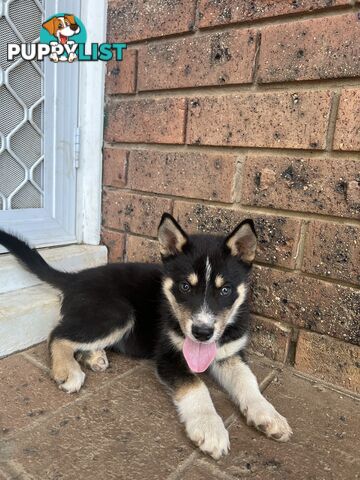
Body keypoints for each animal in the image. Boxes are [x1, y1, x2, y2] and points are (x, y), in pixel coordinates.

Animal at [0, 214, 292, 458]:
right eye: (184, 286)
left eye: (225, 290)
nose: (202, 332)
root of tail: (75, 277)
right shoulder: (169, 356)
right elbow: (197, 386)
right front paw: (210, 427)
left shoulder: (230, 354)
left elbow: (248, 381)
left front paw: (268, 414)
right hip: (117, 312)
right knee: (58, 335)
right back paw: (67, 370)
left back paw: (94, 357)